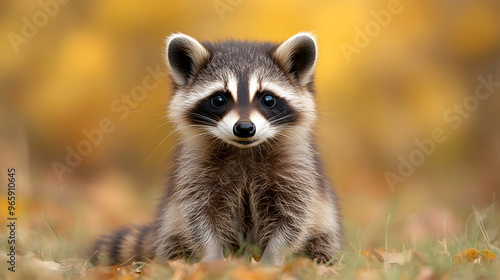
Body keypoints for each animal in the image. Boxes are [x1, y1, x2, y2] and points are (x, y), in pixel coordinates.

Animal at [92, 31, 342, 266]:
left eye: (268, 99)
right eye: (219, 99)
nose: (244, 128)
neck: (243, 150)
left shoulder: (297, 170)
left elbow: (293, 217)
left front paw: (271, 259)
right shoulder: (193, 171)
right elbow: (198, 216)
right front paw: (213, 259)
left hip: (325, 223)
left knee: (322, 242)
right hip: (170, 225)